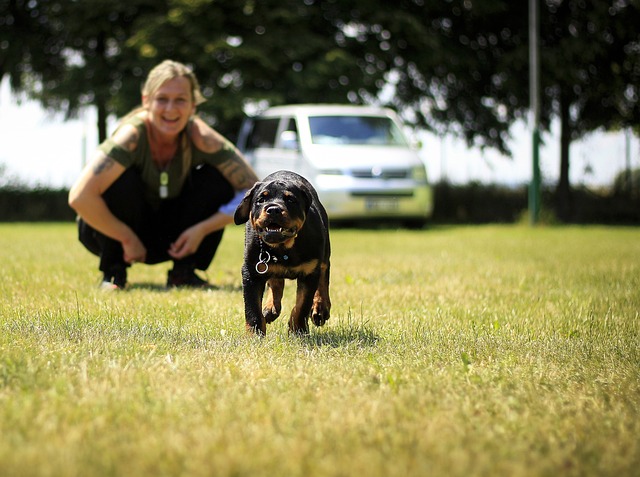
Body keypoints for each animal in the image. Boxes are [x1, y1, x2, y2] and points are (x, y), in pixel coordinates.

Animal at [234, 170, 330, 334]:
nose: (273, 209)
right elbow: (252, 310)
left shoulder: (310, 272)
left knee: (324, 273)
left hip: (324, 252)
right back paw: (270, 307)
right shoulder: (251, 271)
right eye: (261, 200)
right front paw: (254, 334)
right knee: (275, 281)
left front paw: (298, 330)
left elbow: (302, 306)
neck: (283, 248)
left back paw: (320, 308)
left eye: (290, 200)